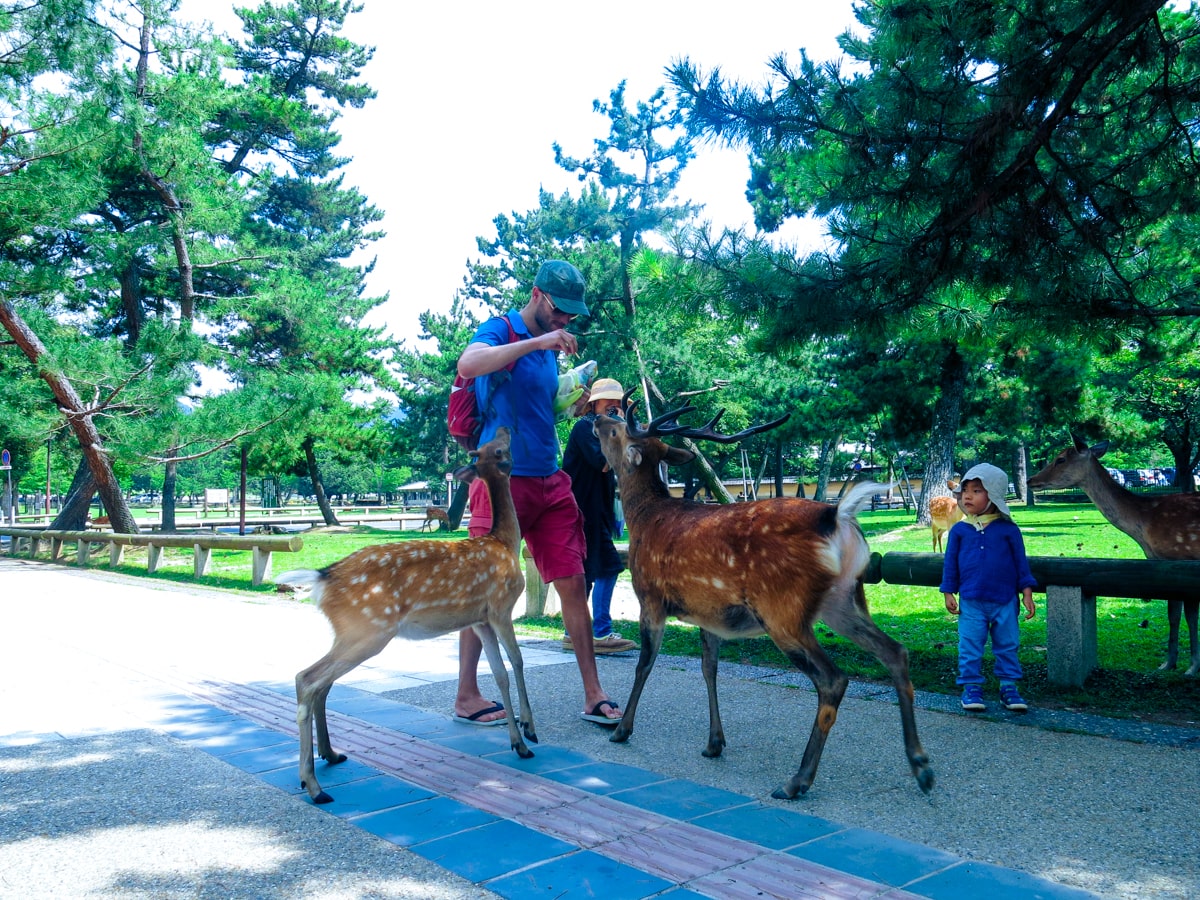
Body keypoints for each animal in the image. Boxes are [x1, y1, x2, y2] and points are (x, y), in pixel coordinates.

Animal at [277, 428, 537, 804]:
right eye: (498, 449)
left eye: (488, 448)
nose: (505, 428)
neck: (504, 543)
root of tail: (322, 578)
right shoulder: (502, 606)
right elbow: (517, 661)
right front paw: (530, 732)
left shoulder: (479, 619)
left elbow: (499, 672)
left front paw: (516, 741)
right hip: (368, 630)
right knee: (307, 679)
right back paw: (313, 785)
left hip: (352, 634)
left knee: (321, 684)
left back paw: (331, 755)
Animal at [591, 397, 934, 801]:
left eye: (616, 430)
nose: (596, 418)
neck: (644, 520)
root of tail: (837, 515)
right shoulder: (708, 614)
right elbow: (709, 670)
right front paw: (714, 743)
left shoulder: (651, 598)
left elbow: (645, 664)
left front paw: (622, 730)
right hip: (845, 599)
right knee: (895, 651)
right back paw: (921, 766)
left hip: (782, 609)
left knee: (833, 679)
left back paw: (797, 780)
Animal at [1028, 435, 1200, 676]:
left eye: (1060, 459)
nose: (1030, 480)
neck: (1145, 522)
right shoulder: (1161, 563)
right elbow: (1173, 615)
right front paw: (1167, 664)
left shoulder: (1183, 557)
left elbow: (1190, 617)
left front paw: (1192, 667)